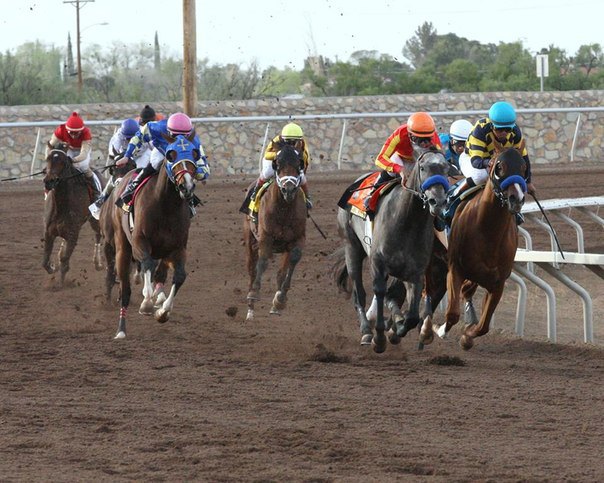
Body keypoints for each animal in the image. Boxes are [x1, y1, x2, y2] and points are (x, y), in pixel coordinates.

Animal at [42, 147, 104, 284]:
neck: (62, 206)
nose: (49, 181)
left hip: (95, 220)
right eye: (48, 159)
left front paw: (61, 284)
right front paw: (53, 266)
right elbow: (45, 261)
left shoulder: (73, 234)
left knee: (98, 235)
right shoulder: (49, 232)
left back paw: (98, 263)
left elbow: (65, 261)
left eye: (62, 162)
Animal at [100, 133, 202, 340]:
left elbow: (179, 276)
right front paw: (147, 303)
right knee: (125, 288)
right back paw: (121, 329)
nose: (186, 186)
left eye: (194, 155)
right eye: (171, 155)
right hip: (122, 246)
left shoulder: (178, 247)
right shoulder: (140, 241)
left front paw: (162, 310)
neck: (165, 205)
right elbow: (145, 265)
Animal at [243, 144, 306, 326]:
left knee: (280, 273)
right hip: (250, 240)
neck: (284, 209)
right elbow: (263, 261)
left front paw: (280, 300)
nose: (289, 189)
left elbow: (291, 263)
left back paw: (275, 306)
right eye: (277, 164)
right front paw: (254, 293)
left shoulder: (298, 238)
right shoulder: (265, 237)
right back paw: (250, 309)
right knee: (252, 270)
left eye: (299, 164)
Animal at [332, 146, 450, 354]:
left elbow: (412, 315)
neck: (407, 221)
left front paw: (397, 331)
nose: (438, 201)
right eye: (422, 167)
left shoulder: (415, 273)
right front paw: (379, 338)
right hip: (352, 247)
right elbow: (380, 293)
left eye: (446, 168)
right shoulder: (379, 265)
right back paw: (366, 331)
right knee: (359, 293)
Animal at [422, 146, 528, 350]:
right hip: (433, 258)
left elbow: (484, 326)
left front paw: (467, 336)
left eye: (523, 167)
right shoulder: (455, 269)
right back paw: (425, 328)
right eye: (499, 166)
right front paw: (440, 330)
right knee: (428, 291)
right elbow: (452, 314)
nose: (516, 199)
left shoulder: (497, 283)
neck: (488, 232)